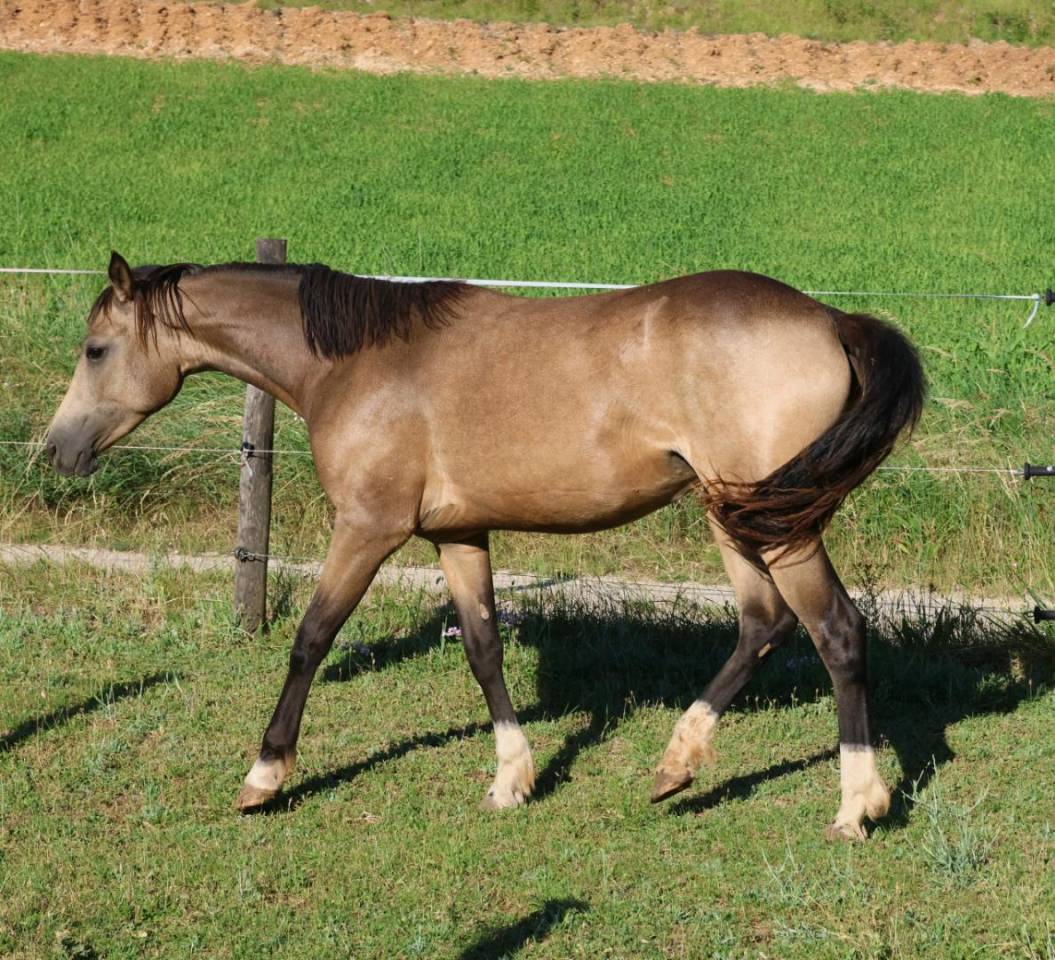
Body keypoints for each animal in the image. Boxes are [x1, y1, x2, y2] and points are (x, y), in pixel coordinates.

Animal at [46, 252, 924, 840]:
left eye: (95, 350)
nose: (56, 451)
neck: (356, 365)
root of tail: (831, 320)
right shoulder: (456, 533)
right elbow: (481, 647)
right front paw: (512, 779)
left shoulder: (367, 528)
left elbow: (310, 638)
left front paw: (265, 776)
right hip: (737, 513)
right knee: (763, 624)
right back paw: (675, 765)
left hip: (773, 521)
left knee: (836, 632)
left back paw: (856, 805)